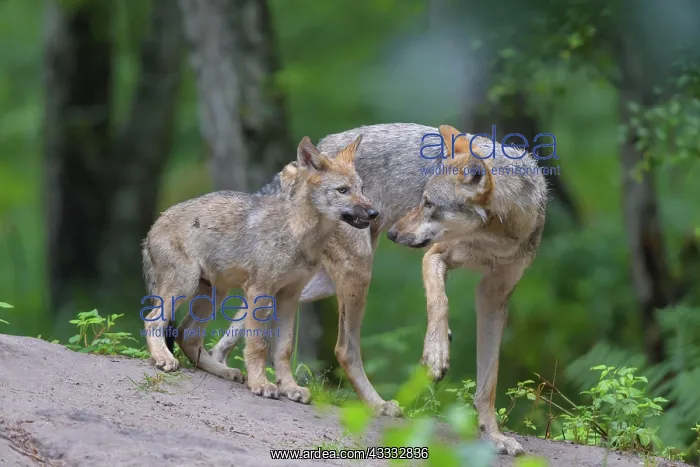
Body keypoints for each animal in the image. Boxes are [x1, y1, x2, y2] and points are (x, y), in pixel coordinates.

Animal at [141, 134, 376, 401]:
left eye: (361, 189)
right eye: (343, 190)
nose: (374, 213)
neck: (300, 236)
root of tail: (153, 226)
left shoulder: (290, 297)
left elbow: (283, 349)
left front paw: (290, 388)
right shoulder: (260, 292)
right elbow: (259, 345)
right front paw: (261, 384)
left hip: (214, 295)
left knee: (186, 335)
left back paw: (225, 371)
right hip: (185, 287)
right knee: (153, 321)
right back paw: (164, 359)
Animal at [210, 123, 548, 455]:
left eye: (428, 204)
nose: (394, 234)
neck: (499, 234)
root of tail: (312, 154)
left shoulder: (494, 296)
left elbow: (489, 380)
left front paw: (494, 436)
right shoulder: (434, 257)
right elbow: (440, 303)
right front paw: (436, 354)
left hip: (314, 283)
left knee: (246, 314)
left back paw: (217, 362)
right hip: (357, 272)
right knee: (343, 348)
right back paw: (377, 404)